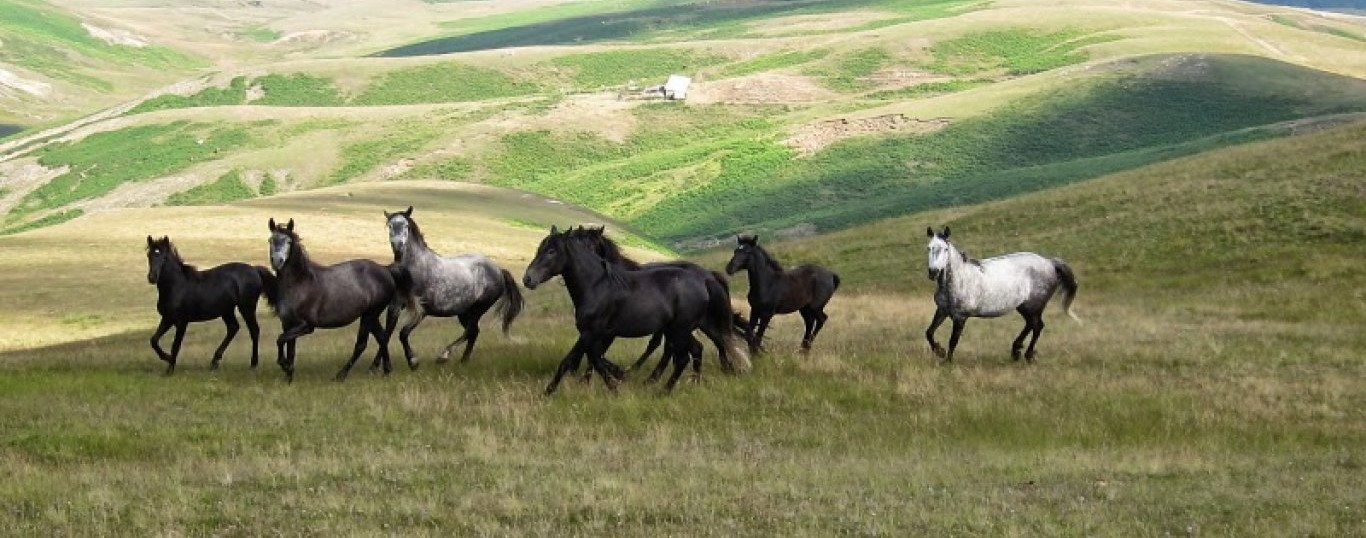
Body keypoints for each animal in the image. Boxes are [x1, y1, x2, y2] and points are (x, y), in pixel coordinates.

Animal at [144, 234, 274, 374]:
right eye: (149, 255)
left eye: (164, 257)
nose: (152, 277)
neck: (177, 286)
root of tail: (255, 269)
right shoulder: (167, 318)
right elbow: (154, 340)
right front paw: (167, 358)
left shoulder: (182, 322)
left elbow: (175, 345)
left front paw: (170, 369)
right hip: (227, 310)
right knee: (233, 328)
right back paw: (214, 361)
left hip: (247, 307)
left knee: (254, 330)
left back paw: (253, 364)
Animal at [263, 218, 407, 382]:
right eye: (270, 240)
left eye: (288, 241)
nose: (277, 261)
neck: (299, 283)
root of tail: (386, 270)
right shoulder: (288, 324)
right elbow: (290, 350)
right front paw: (288, 378)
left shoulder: (306, 326)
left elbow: (280, 340)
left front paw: (284, 365)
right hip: (369, 315)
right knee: (382, 337)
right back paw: (387, 370)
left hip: (370, 314)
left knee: (361, 344)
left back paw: (341, 375)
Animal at [385, 206, 521, 365]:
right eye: (390, 225)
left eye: (406, 225)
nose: (398, 245)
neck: (415, 268)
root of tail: (499, 270)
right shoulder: (394, 306)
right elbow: (386, 334)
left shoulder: (422, 311)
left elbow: (403, 333)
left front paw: (413, 361)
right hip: (464, 313)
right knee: (474, 332)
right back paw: (463, 360)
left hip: (477, 309)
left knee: (471, 331)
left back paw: (444, 356)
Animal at [570, 226, 754, 382]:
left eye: (594, 246)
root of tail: (708, 276)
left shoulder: (609, 329)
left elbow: (596, 351)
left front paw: (589, 376)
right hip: (696, 323)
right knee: (716, 341)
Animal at [928, 225, 1076, 363]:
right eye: (929, 248)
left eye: (945, 249)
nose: (933, 272)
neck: (959, 279)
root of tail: (1050, 263)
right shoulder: (942, 310)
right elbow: (929, 333)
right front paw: (940, 351)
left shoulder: (960, 317)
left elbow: (953, 341)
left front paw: (947, 362)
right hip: (1024, 307)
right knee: (1031, 324)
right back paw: (1016, 350)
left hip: (1034, 306)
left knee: (1037, 326)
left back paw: (1027, 355)